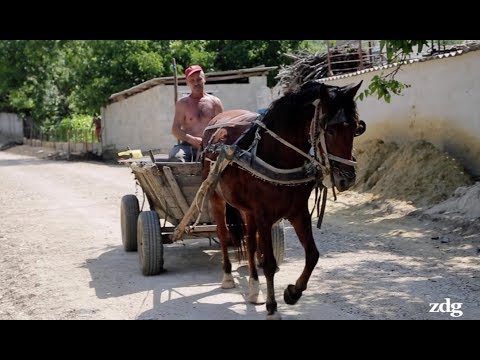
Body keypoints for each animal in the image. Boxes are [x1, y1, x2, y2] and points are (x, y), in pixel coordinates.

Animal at [201, 80, 366, 320]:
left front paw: (293, 292)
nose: (347, 179)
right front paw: (272, 308)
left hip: (247, 210)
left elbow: (313, 255)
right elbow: (269, 263)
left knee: (250, 243)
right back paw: (228, 277)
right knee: (223, 235)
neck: (278, 155)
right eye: (331, 129)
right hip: (216, 197)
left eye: (356, 128)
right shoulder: (264, 216)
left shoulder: (299, 213)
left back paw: (254, 289)